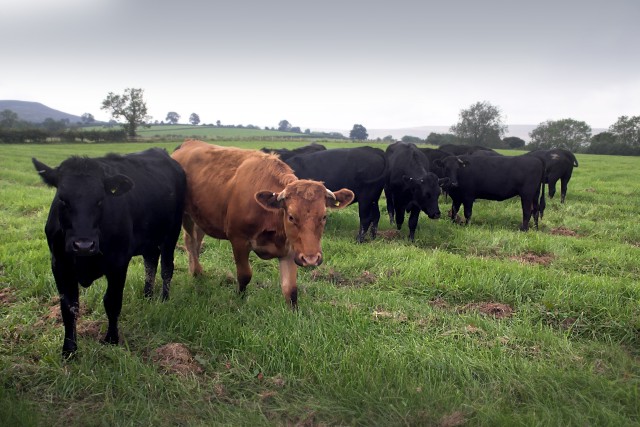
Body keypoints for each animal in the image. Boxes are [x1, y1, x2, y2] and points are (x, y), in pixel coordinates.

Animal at [32, 149, 185, 360]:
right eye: (62, 199)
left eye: (100, 200)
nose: (84, 245)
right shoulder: (59, 265)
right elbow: (68, 307)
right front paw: (69, 350)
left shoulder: (118, 263)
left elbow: (112, 301)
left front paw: (111, 339)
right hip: (149, 241)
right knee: (151, 263)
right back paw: (147, 297)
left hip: (171, 234)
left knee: (166, 268)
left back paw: (163, 299)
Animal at [170, 140, 356, 308]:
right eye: (291, 217)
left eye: (324, 216)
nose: (311, 259)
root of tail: (187, 144)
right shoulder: (238, 240)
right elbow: (244, 275)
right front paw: (239, 300)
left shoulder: (291, 249)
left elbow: (290, 289)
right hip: (185, 215)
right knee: (190, 241)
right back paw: (196, 272)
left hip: (201, 218)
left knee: (197, 240)